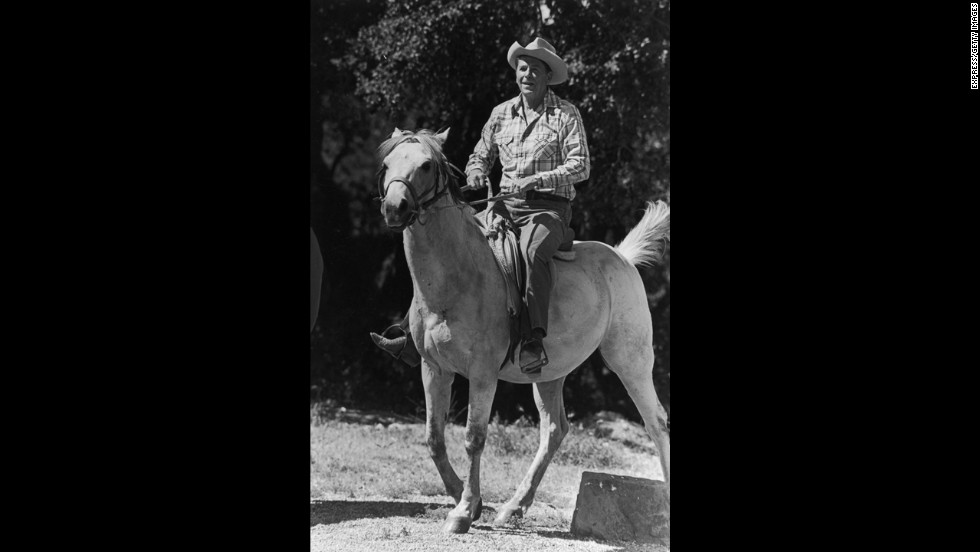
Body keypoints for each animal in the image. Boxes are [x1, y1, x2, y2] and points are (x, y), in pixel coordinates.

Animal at [378, 127, 668, 532]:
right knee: (554, 431)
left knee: (656, 422)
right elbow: (434, 438)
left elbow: (474, 438)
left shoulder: (482, 374)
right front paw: (465, 499)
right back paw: (514, 506)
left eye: (425, 165)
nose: (395, 208)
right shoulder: (434, 369)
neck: (455, 279)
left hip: (631, 361)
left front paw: (464, 510)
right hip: (549, 374)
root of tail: (622, 258)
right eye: (387, 163)